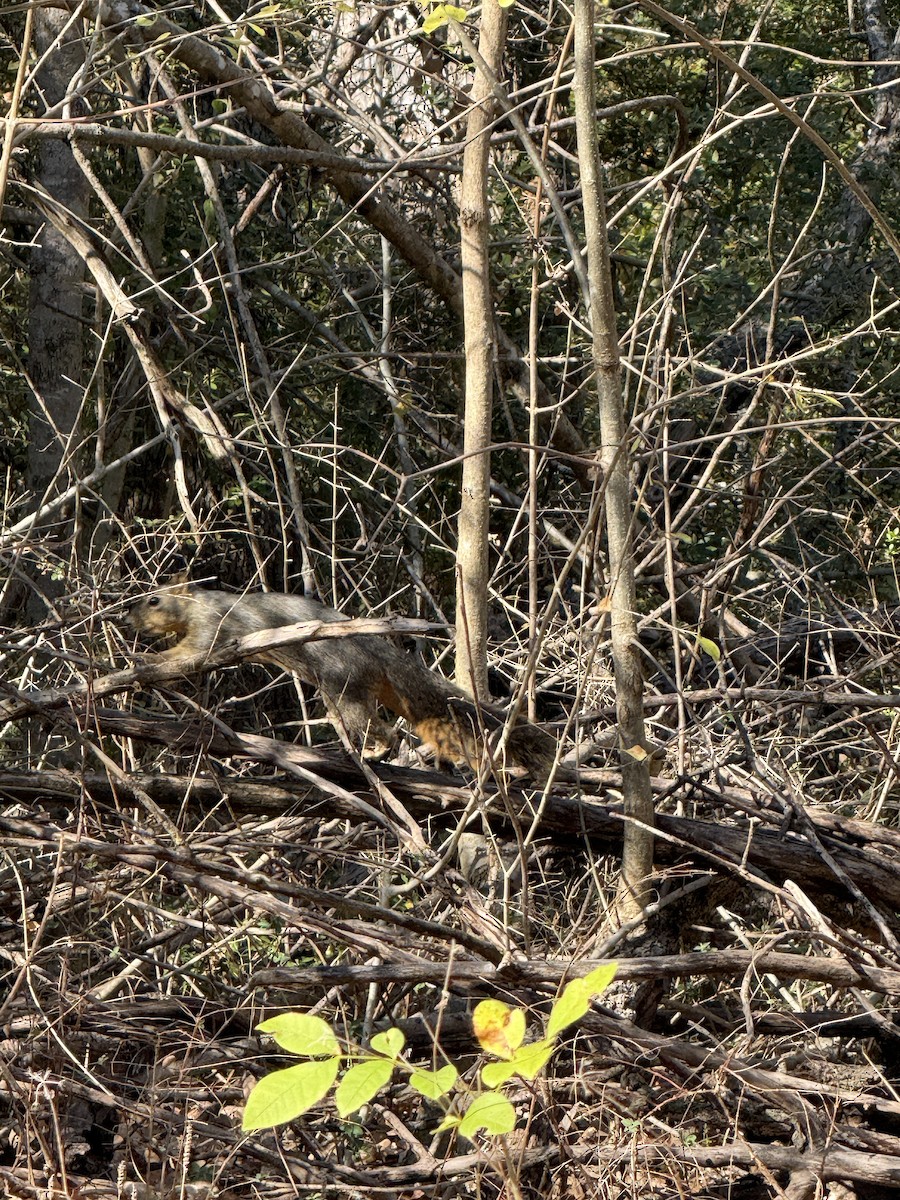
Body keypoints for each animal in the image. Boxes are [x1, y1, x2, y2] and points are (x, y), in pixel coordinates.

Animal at [128, 579, 556, 777]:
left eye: (154, 599)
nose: (126, 618)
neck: (197, 605)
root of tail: (378, 653)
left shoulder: (212, 628)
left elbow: (188, 654)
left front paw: (139, 660)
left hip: (341, 684)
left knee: (385, 732)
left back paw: (371, 752)